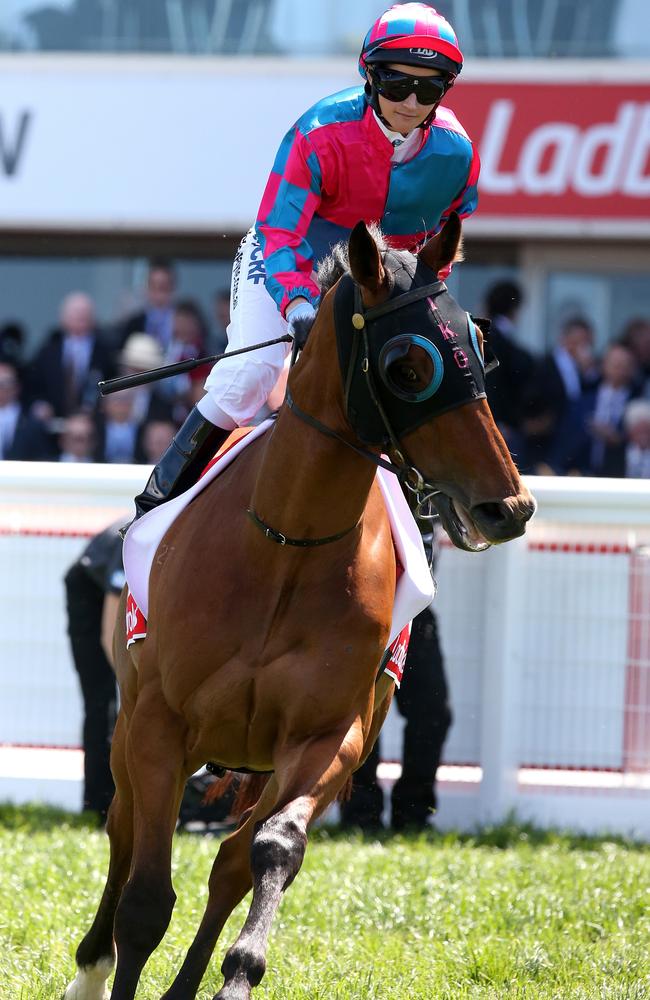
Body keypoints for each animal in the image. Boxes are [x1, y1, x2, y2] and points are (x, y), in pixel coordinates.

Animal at [63, 213, 536, 1000]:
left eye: (478, 344)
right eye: (409, 365)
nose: (508, 507)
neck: (287, 544)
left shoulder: (329, 735)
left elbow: (272, 851)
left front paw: (237, 973)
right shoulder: (159, 723)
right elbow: (145, 898)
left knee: (230, 859)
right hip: (131, 726)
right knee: (123, 828)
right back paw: (91, 969)